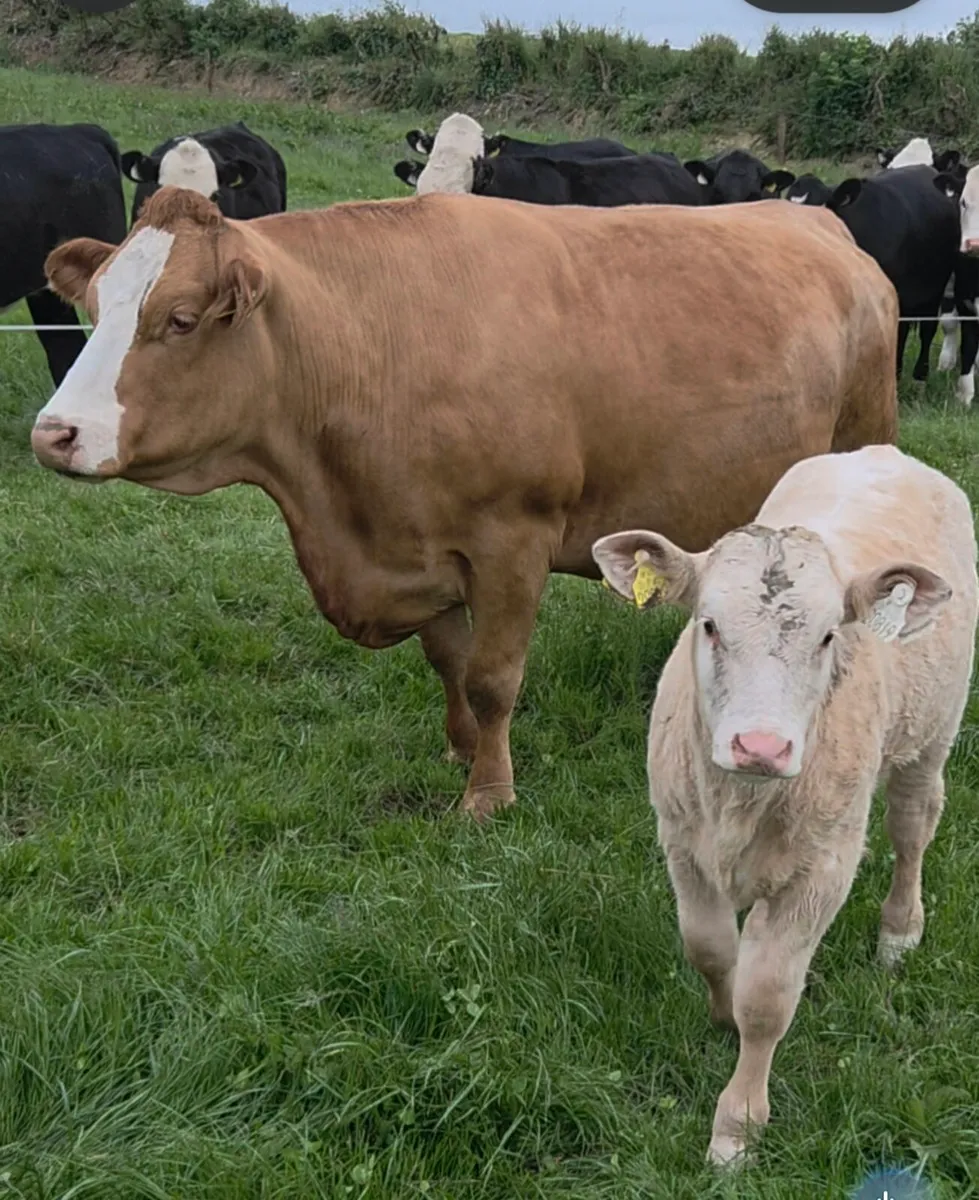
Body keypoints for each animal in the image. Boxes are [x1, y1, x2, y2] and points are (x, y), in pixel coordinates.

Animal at [30, 186, 898, 820]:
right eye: (95, 307)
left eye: (178, 320)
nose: (54, 433)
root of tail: (817, 219)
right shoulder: (415, 546)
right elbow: (448, 660)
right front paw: (458, 746)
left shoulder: (509, 541)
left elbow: (492, 675)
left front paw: (488, 793)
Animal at [592, 444, 977, 1166]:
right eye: (708, 625)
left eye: (828, 637)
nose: (761, 745)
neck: (741, 801)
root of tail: (884, 452)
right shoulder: (680, 842)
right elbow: (710, 948)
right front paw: (720, 1014)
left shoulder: (822, 869)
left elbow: (767, 995)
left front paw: (737, 1126)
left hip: (933, 731)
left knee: (912, 827)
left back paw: (898, 931)